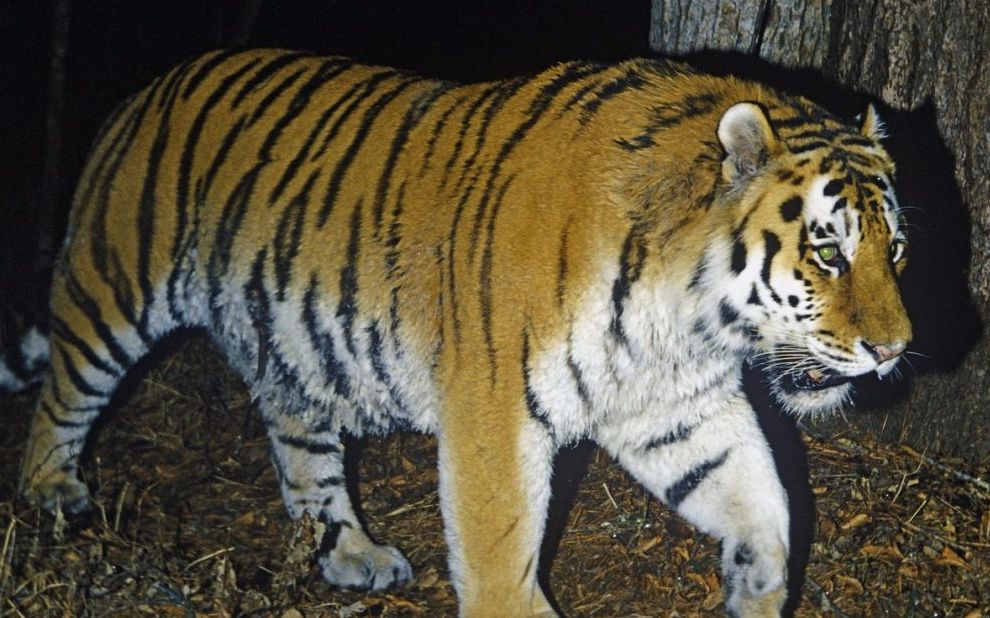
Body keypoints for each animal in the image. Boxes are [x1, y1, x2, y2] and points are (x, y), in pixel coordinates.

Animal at [2, 48, 911, 617]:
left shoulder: (671, 406)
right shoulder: (494, 408)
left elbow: (763, 504)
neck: (684, 318)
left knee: (299, 440)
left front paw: (755, 590)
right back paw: (49, 492)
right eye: (828, 251)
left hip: (293, 345)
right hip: (115, 284)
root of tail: (151, 86)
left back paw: (350, 553)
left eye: (895, 249)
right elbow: (500, 552)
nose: (894, 350)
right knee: (62, 395)